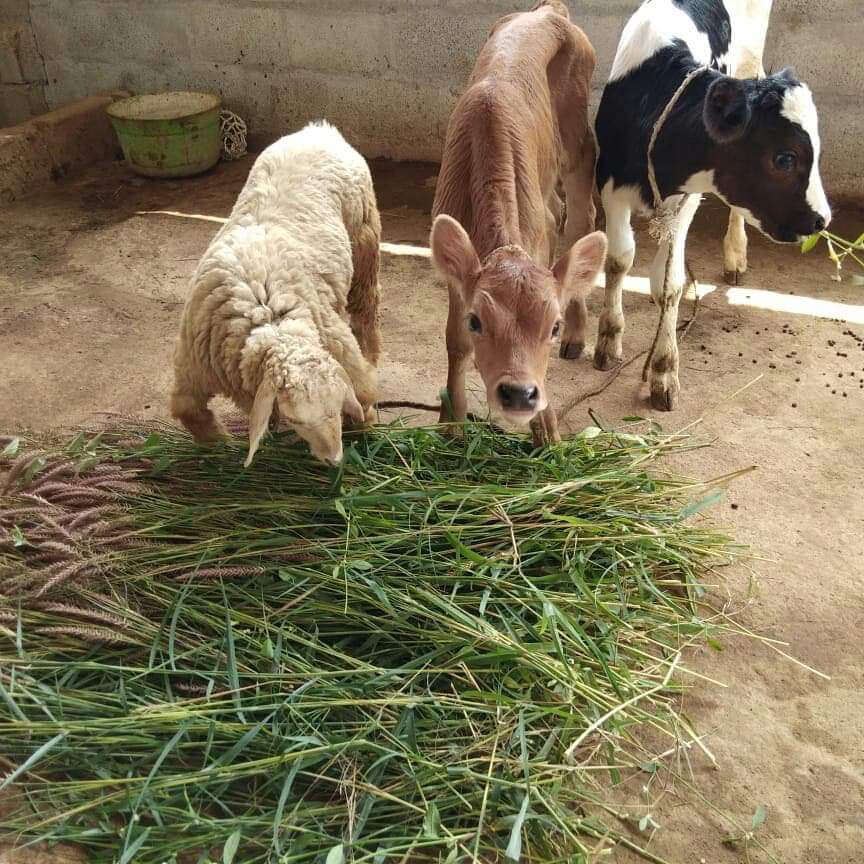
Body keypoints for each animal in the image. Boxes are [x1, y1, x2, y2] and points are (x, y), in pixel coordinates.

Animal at [170, 121, 380, 466]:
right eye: (296, 419)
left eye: (336, 407)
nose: (334, 459)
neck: (266, 316)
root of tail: (320, 129)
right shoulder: (192, 370)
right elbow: (186, 410)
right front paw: (219, 446)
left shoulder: (336, 342)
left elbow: (362, 389)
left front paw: (366, 427)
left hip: (365, 236)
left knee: (367, 307)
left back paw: (372, 352)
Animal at [432, 1, 608, 446]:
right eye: (477, 320)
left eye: (553, 326)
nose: (518, 394)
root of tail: (548, 11)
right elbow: (455, 343)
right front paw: (451, 421)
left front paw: (547, 430)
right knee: (558, 211)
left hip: (579, 142)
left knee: (580, 218)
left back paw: (581, 335)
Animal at [572, 0, 832, 412]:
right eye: (784, 158)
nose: (822, 220)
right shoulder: (609, 183)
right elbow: (619, 259)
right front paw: (609, 339)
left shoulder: (687, 199)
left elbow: (672, 283)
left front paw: (664, 370)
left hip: (749, 60)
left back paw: (735, 255)